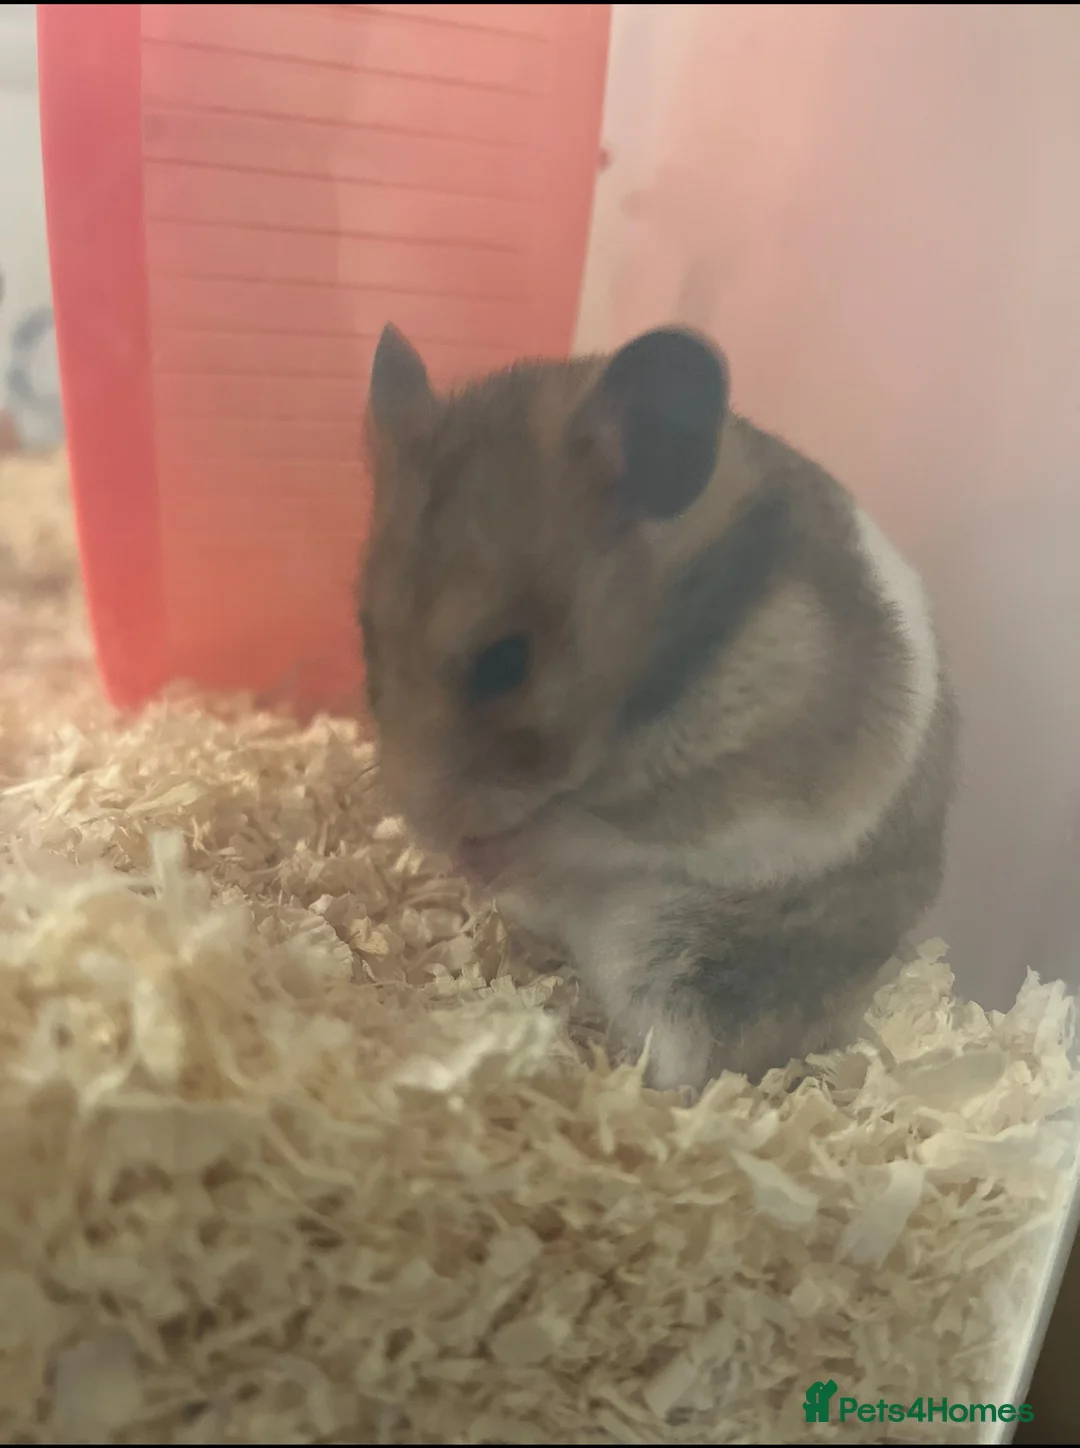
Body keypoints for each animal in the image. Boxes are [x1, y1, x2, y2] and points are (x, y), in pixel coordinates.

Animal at [358, 322, 958, 1095]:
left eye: (506, 663)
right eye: (365, 633)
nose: (426, 829)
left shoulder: (748, 793)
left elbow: (594, 832)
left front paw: (495, 852)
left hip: (682, 968)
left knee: (685, 1064)